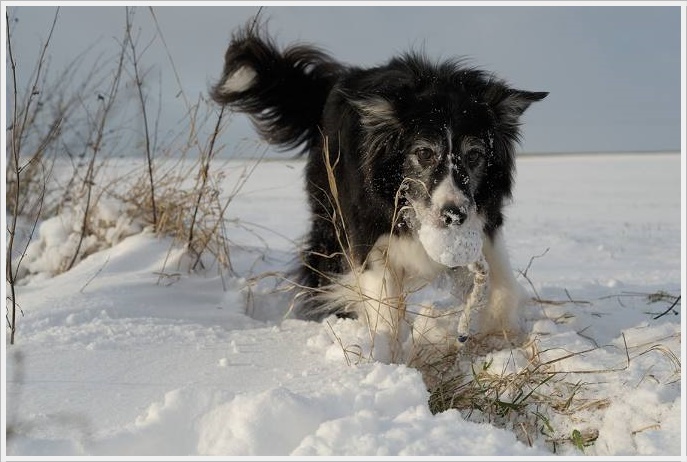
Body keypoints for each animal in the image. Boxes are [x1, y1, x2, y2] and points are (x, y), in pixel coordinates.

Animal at [212, 25, 544, 342]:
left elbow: (503, 285)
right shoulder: (370, 232)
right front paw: (386, 350)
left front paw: (501, 337)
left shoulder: (486, 219)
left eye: (474, 155)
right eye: (424, 153)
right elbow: (385, 306)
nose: (453, 215)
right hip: (330, 215)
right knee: (321, 263)